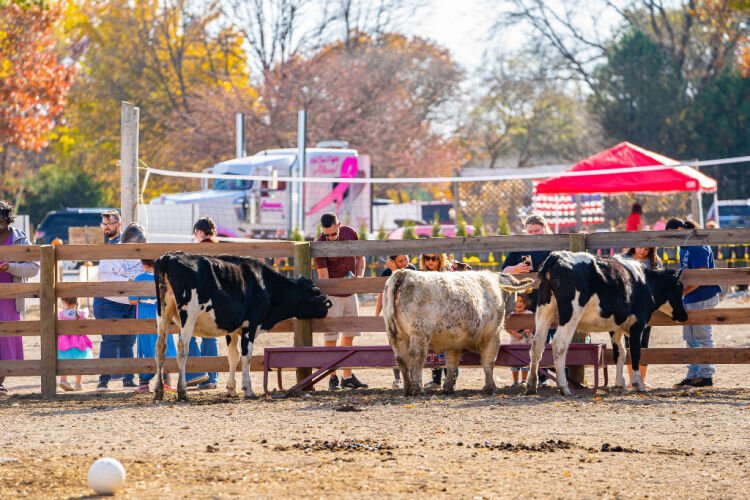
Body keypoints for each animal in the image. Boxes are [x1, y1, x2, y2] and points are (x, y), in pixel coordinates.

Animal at [153, 252, 332, 400]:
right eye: (316, 291)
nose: (328, 304)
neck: (264, 285)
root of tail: (169, 257)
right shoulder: (250, 325)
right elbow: (247, 355)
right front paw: (248, 389)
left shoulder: (231, 329)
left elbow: (233, 356)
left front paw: (231, 389)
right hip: (189, 313)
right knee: (182, 347)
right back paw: (182, 391)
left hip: (162, 313)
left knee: (160, 347)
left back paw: (158, 390)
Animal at [384, 272, 536, 396]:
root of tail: (404, 273)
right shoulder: (492, 335)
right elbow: (488, 361)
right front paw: (490, 386)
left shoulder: (453, 340)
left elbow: (452, 362)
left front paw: (448, 387)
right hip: (419, 334)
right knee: (416, 358)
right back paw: (417, 389)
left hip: (396, 336)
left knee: (401, 360)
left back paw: (408, 389)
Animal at [524, 252, 692, 396]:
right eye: (679, 288)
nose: (684, 315)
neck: (645, 283)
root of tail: (557, 256)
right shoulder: (638, 324)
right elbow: (635, 352)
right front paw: (638, 384)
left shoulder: (615, 327)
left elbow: (620, 353)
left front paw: (619, 383)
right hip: (570, 313)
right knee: (559, 344)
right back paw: (564, 387)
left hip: (544, 309)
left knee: (537, 344)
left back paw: (531, 385)